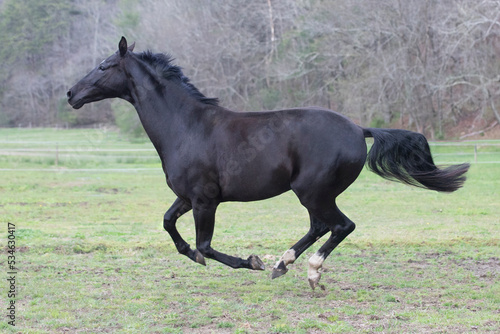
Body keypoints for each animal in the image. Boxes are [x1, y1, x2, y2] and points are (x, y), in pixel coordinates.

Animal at [68, 37, 470, 290]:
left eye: (103, 66)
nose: (71, 94)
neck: (187, 127)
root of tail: (359, 129)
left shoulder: (205, 199)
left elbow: (206, 246)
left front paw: (252, 261)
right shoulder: (187, 196)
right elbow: (169, 225)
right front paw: (200, 258)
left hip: (313, 191)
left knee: (341, 225)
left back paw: (308, 272)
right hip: (314, 194)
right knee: (321, 226)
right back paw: (283, 264)